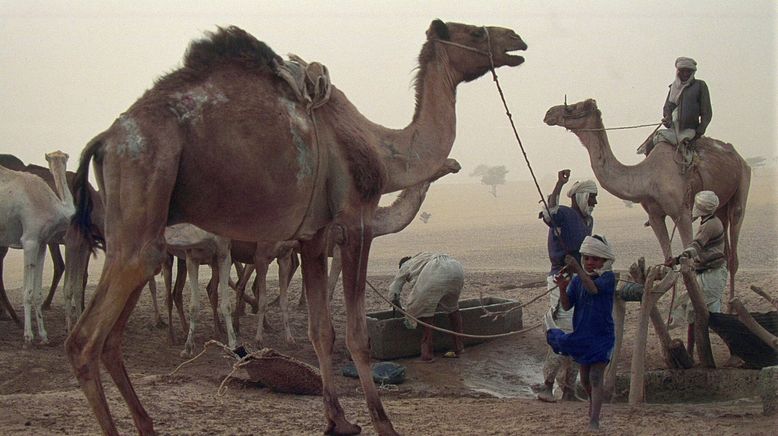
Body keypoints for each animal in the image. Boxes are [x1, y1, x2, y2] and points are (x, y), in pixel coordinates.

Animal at [0, 152, 75, 346]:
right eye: (51, 158)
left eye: (64, 157)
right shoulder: (30, 240)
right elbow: (27, 291)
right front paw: (28, 336)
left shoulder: (42, 243)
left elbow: (37, 293)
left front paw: (44, 336)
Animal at [68, 19, 528, 432]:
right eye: (475, 32)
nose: (516, 40)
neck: (383, 148)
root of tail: (105, 140)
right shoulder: (356, 223)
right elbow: (356, 336)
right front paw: (382, 422)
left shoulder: (313, 237)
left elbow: (321, 330)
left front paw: (339, 421)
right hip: (143, 176)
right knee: (84, 342)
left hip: (144, 223)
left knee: (112, 339)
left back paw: (146, 423)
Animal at [544, 99, 748, 304]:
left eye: (572, 107)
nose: (548, 113)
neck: (646, 179)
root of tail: (738, 156)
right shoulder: (655, 216)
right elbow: (668, 265)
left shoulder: (682, 214)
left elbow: (688, 264)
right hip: (721, 203)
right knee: (724, 246)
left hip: (741, 186)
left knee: (734, 247)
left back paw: (732, 303)